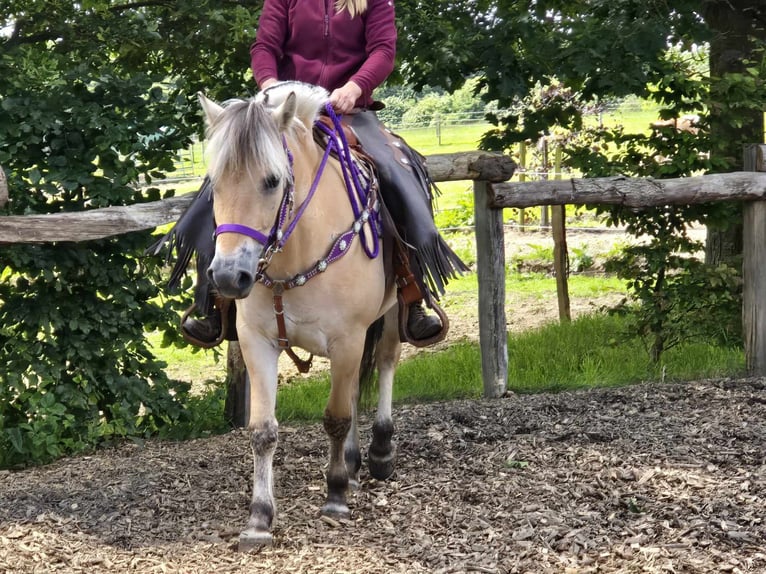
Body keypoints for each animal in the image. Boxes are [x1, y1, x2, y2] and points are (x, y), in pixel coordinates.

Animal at [198, 83, 402, 552]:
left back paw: (379, 453)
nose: (229, 276)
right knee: (354, 390)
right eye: (214, 182)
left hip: (393, 314)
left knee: (384, 364)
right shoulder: (256, 341)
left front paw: (335, 496)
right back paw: (354, 464)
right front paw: (259, 519)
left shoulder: (348, 338)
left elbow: (335, 417)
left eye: (272, 180)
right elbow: (263, 429)